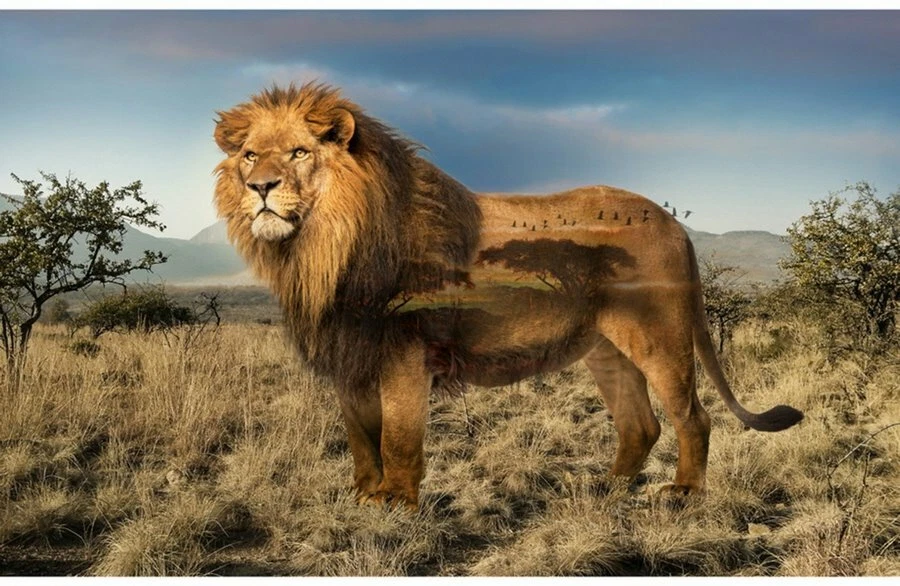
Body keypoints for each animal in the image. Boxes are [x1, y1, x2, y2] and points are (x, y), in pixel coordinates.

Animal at [213, 83, 803, 508]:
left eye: (298, 152)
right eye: (249, 156)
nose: (260, 188)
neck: (319, 249)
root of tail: (674, 223)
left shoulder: (404, 351)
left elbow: (398, 434)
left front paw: (395, 502)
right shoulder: (348, 353)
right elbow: (361, 435)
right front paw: (362, 495)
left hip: (660, 335)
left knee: (693, 417)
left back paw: (685, 493)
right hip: (606, 349)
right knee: (642, 424)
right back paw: (604, 488)